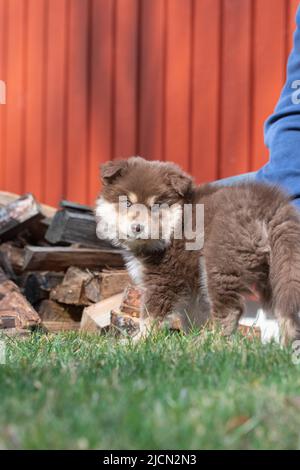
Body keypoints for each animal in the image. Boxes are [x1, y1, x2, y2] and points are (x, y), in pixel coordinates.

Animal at [95, 156, 300, 344]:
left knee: (230, 310)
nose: (137, 228)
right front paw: (188, 342)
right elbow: (192, 316)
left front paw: (137, 342)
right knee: (285, 309)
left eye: (156, 206)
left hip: (221, 263)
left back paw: (212, 342)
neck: (175, 224)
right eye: (127, 203)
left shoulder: (164, 279)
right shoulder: (191, 289)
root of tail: (271, 205)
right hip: (277, 269)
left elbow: (151, 315)